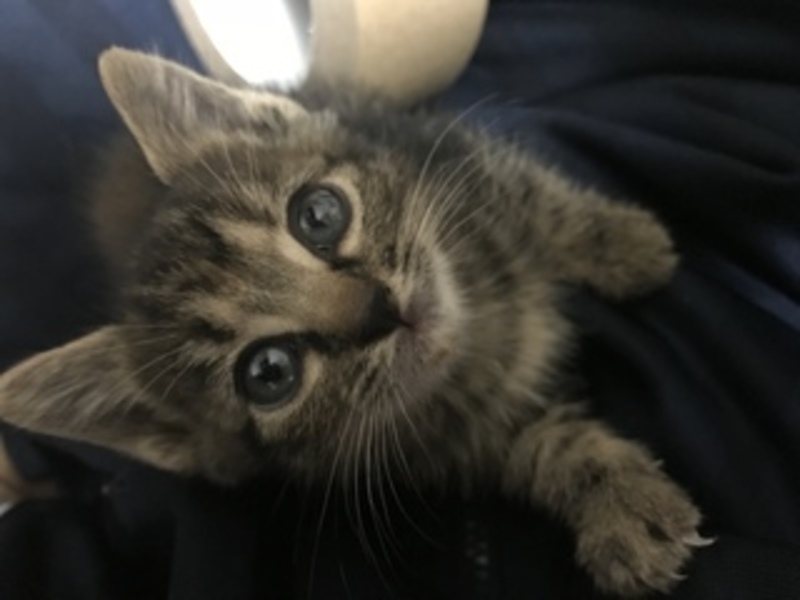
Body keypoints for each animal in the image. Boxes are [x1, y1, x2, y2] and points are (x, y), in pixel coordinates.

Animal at [0, 48, 712, 597]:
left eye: (318, 214)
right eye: (269, 372)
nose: (382, 310)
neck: (480, 324)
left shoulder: (463, 162)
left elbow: (543, 202)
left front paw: (623, 243)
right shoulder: (466, 438)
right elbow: (551, 449)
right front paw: (622, 507)